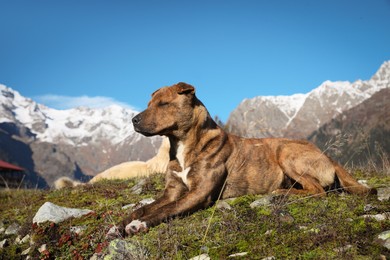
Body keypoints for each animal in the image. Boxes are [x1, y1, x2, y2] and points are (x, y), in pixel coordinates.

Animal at [111, 82, 374, 237]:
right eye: (149, 104)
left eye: (164, 104)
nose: (133, 120)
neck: (183, 145)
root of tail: (326, 154)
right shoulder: (171, 191)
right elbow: (142, 208)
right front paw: (119, 225)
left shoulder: (199, 193)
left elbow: (166, 210)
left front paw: (138, 225)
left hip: (285, 151)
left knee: (318, 191)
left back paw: (281, 193)